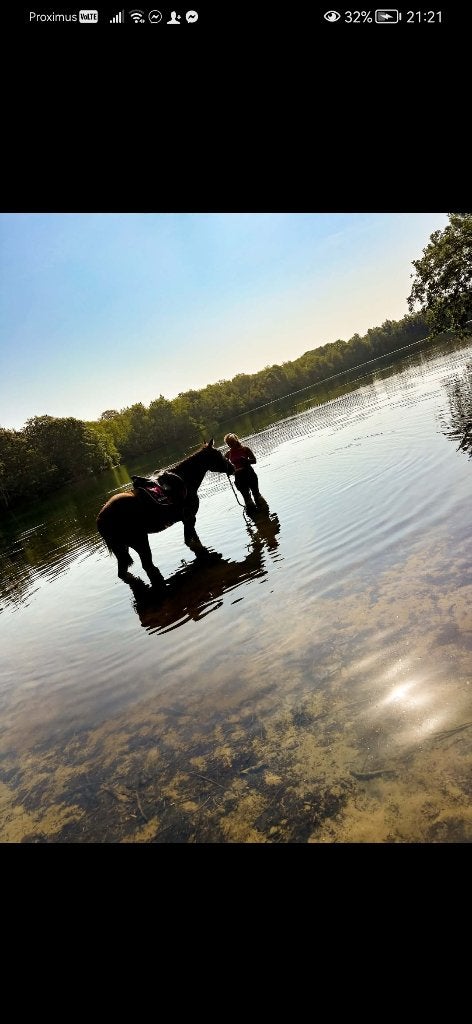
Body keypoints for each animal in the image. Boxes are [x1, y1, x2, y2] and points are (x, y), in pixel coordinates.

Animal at [96, 439, 230, 586]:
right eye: (218, 454)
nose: (231, 467)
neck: (185, 480)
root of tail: (100, 520)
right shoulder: (189, 519)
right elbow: (189, 539)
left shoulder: (188, 520)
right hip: (140, 542)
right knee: (147, 565)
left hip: (123, 549)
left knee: (124, 572)